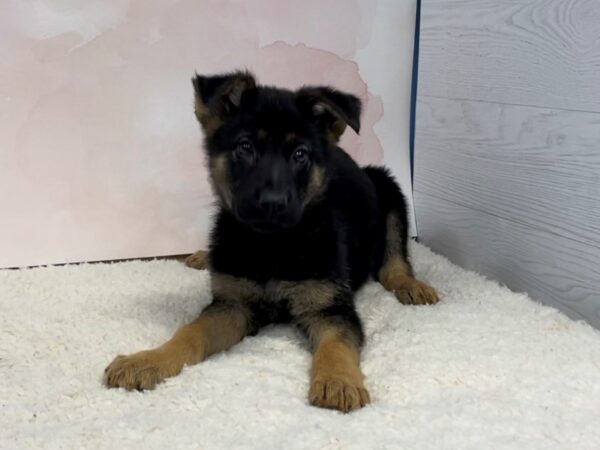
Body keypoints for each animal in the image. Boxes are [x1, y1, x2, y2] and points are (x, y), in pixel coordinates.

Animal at [105, 70, 438, 412]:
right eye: (245, 147)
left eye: (300, 154)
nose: (272, 203)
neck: (271, 244)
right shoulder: (233, 304)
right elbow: (190, 332)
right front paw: (147, 360)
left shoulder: (331, 308)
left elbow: (336, 345)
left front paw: (339, 381)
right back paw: (203, 256)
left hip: (387, 186)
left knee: (393, 259)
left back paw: (411, 284)